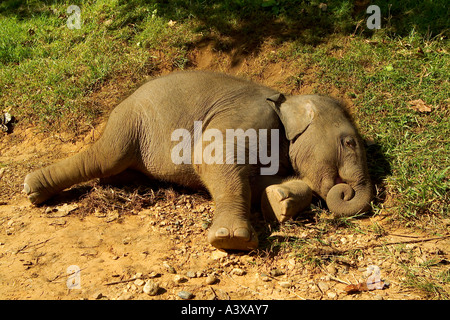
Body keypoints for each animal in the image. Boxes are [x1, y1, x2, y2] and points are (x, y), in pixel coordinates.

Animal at [25, 71, 376, 251]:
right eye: (348, 142)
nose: (345, 190)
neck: (287, 99)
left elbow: (261, 182)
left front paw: (279, 201)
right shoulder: (248, 116)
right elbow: (210, 157)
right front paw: (232, 239)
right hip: (131, 122)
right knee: (104, 158)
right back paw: (32, 189)